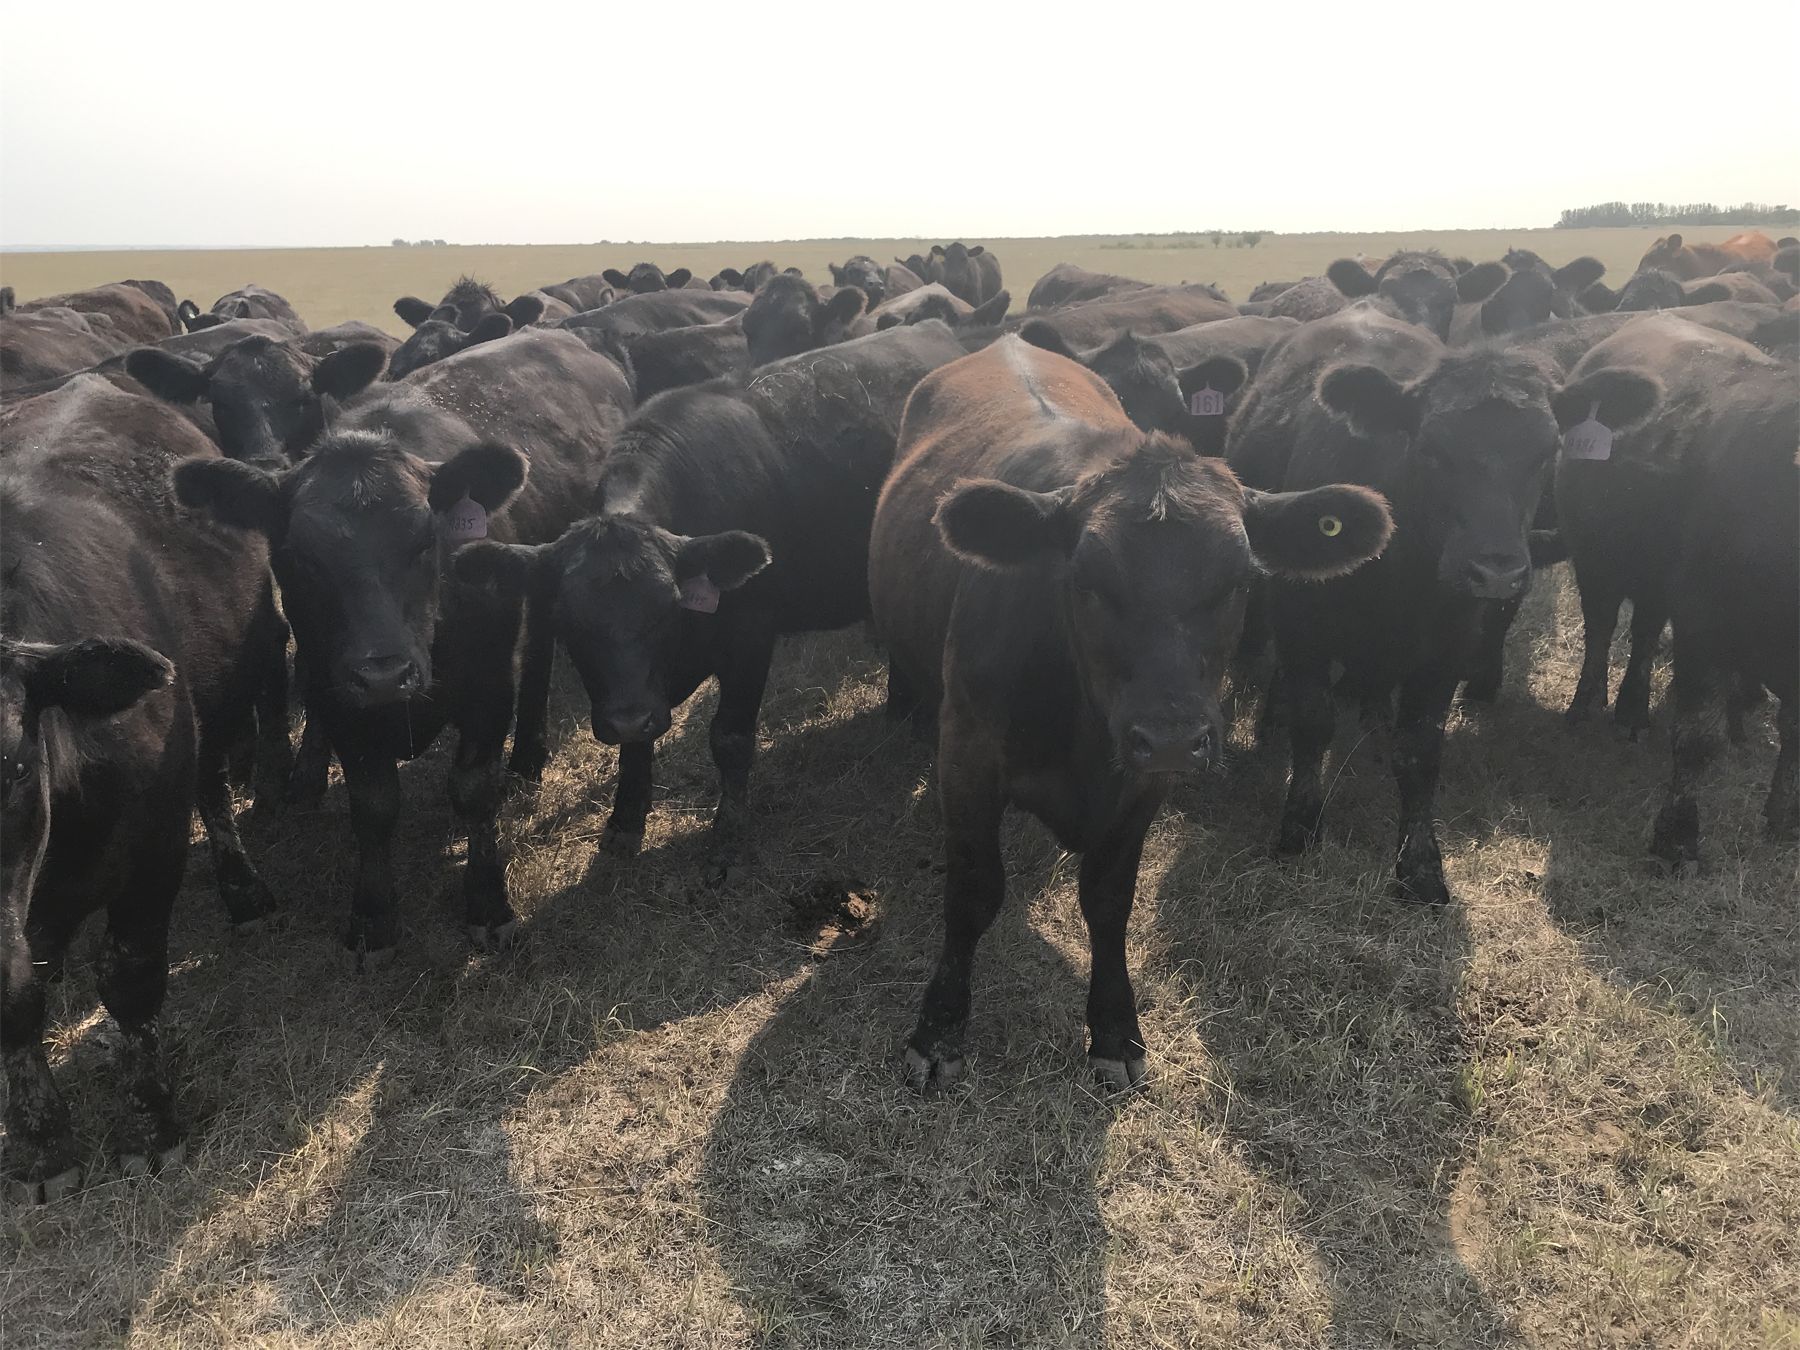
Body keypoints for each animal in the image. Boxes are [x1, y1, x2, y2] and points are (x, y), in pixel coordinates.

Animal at [1, 376, 289, 1200]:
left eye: (16, 764)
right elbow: (19, 1012)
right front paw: (44, 1147)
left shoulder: (152, 852)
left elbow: (129, 979)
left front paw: (152, 1123)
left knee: (217, 790)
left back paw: (243, 891)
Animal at [171, 329, 631, 957]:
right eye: (300, 558)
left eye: (423, 541)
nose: (385, 674)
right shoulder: (339, 695)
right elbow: (373, 805)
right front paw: (372, 916)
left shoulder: (488, 684)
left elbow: (473, 790)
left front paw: (488, 903)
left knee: (537, 655)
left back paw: (527, 757)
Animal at [454, 321, 967, 875]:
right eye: (570, 624)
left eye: (667, 609)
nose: (626, 717)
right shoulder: (641, 690)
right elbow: (637, 747)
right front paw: (624, 820)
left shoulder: (751, 635)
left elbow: (730, 738)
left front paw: (729, 833)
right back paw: (903, 713)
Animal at [868, 336, 1392, 1091]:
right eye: (1085, 580)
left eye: (1241, 580)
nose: (1171, 735)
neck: (1083, 732)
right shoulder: (967, 754)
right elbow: (972, 890)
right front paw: (939, 1030)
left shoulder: (1144, 784)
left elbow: (1110, 897)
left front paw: (1115, 1029)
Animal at [1226, 305, 1657, 904]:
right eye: (1431, 450)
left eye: (1547, 453)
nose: (1496, 570)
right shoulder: (1300, 624)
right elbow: (1312, 724)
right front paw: (1299, 828)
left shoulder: (1446, 650)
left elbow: (1421, 751)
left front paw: (1421, 863)